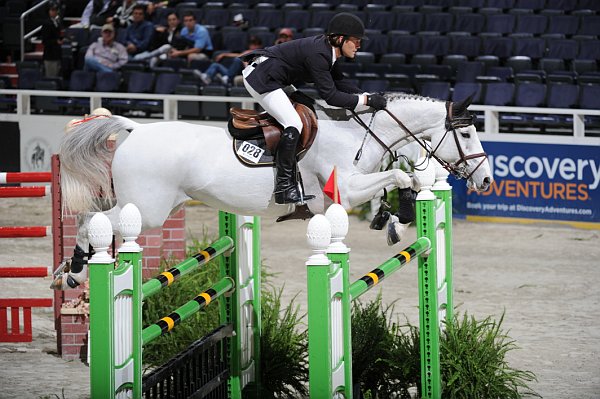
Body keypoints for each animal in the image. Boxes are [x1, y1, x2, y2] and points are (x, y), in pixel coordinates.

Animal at [52, 94, 492, 290]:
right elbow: (400, 179)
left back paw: (68, 271)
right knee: (95, 222)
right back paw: (75, 271)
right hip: (147, 209)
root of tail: (137, 128)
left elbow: (403, 181)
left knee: (95, 217)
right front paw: (399, 218)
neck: (360, 134)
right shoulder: (344, 192)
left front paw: (394, 221)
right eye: (468, 134)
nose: (487, 180)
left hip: (142, 202)